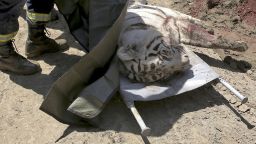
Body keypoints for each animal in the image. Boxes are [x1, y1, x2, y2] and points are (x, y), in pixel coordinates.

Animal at [117, 2, 248, 82]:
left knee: (186, 16)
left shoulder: (173, 23)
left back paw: (207, 25)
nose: (187, 63)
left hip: (169, 11)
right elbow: (202, 40)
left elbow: (207, 40)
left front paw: (242, 46)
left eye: (164, 54)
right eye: (167, 76)